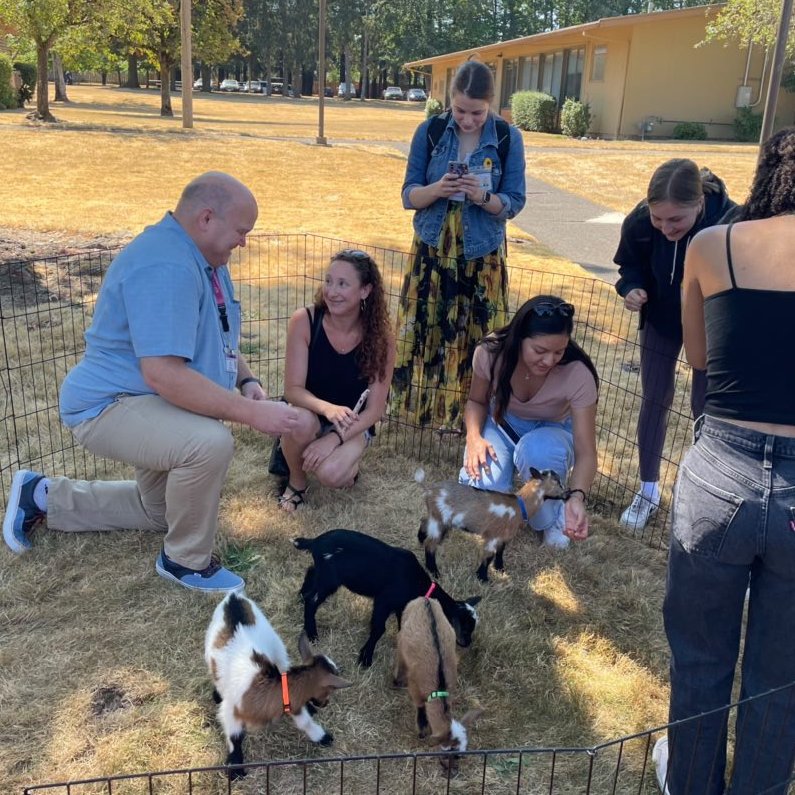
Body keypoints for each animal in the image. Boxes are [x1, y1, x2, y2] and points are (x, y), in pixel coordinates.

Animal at [205, 592, 352, 780]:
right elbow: (235, 737)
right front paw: (236, 767)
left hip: (277, 648)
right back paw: (217, 694)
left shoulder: (289, 699)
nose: (325, 704)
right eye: (331, 690)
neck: (262, 687)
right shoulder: (231, 710)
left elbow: (304, 721)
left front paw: (322, 737)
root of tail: (233, 597)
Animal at [394, 596, 482, 772]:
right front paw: (422, 730)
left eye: (461, 754)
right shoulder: (415, 685)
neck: (438, 687)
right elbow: (420, 706)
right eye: (450, 751)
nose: (453, 772)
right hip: (403, 630)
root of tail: (425, 599)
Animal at [416, 466, 564, 584]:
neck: (520, 506)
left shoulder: (503, 536)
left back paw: (421, 540)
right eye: (557, 482)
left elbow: (500, 551)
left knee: (424, 522)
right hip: (440, 519)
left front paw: (500, 568)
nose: (566, 494)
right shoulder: (493, 536)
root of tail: (429, 490)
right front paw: (483, 578)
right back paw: (434, 572)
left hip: (436, 517)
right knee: (430, 544)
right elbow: (488, 556)